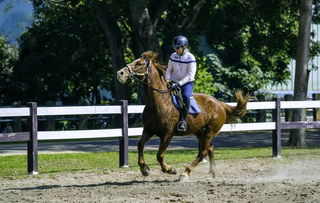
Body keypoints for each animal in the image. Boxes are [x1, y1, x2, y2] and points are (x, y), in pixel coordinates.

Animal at [116, 50, 249, 181]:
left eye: (140, 63)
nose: (120, 73)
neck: (159, 102)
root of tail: (219, 103)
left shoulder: (167, 134)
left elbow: (159, 155)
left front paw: (170, 170)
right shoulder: (148, 130)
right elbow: (140, 145)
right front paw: (144, 169)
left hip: (210, 132)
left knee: (203, 152)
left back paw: (185, 173)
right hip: (199, 131)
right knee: (210, 148)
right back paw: (212, 172)